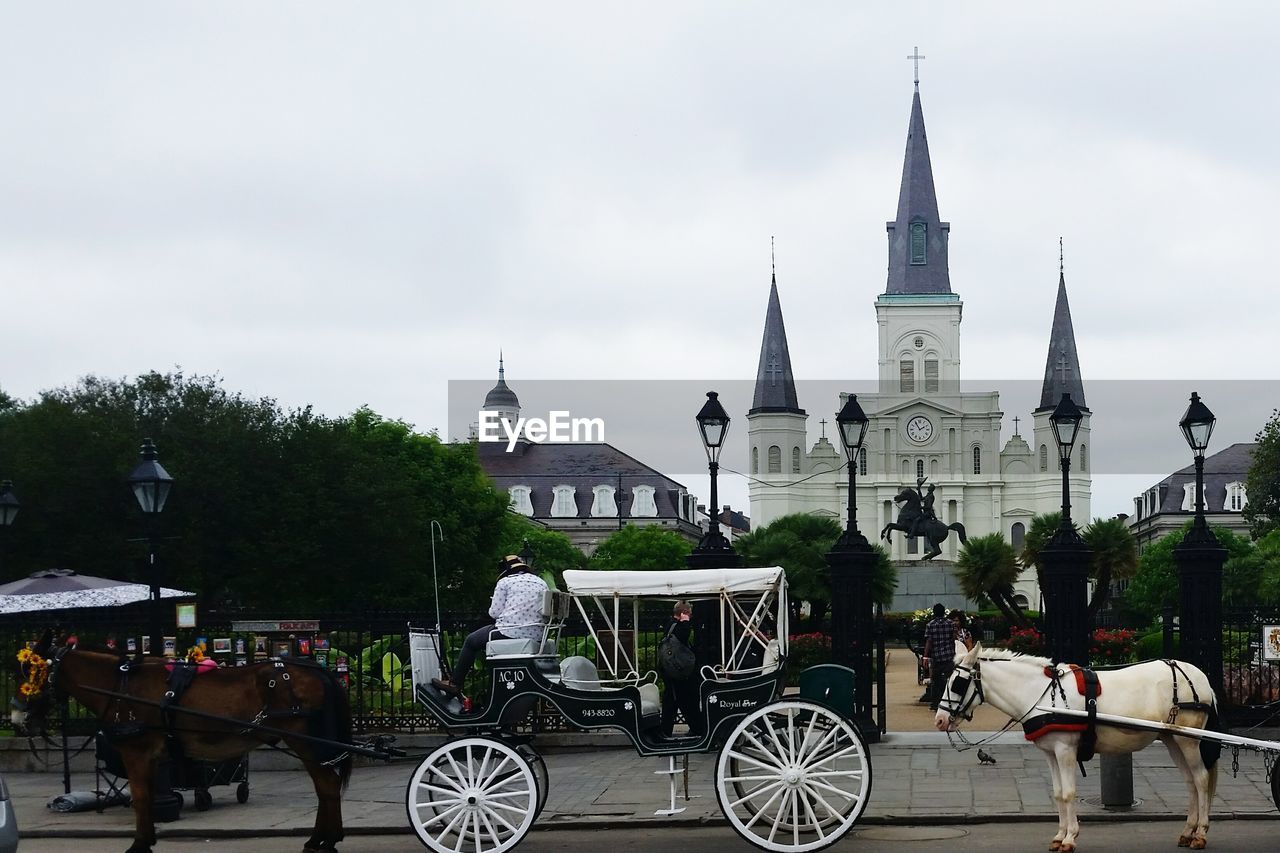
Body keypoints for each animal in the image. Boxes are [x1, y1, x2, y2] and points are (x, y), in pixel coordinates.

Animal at [17, 637, 355, 850]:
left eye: (30, 671)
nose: (17, 716)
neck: (121, 686)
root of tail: (317, 670)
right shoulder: (151, 756)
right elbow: (147, 796)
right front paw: (147, 838)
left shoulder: (136, 751)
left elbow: (141, 798)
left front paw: (139, 844)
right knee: (324, 786)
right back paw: (319, 838)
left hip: (305, 741)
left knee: (327, 785)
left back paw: (329, 839)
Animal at [936, 645, 1223, 850]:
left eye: (958, 683)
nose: (939, 720)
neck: (1040, 694)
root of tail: (1199, 676)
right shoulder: (1050, 752)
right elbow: (1057, 793)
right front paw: (1059, 835)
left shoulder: (1065, 750)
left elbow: (1069, 793)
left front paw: (1070, 838)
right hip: (1172, 738)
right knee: (1190, 781)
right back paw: (1187, 831)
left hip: (1188, 738)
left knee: (1200, 778)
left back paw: (1200, 833)